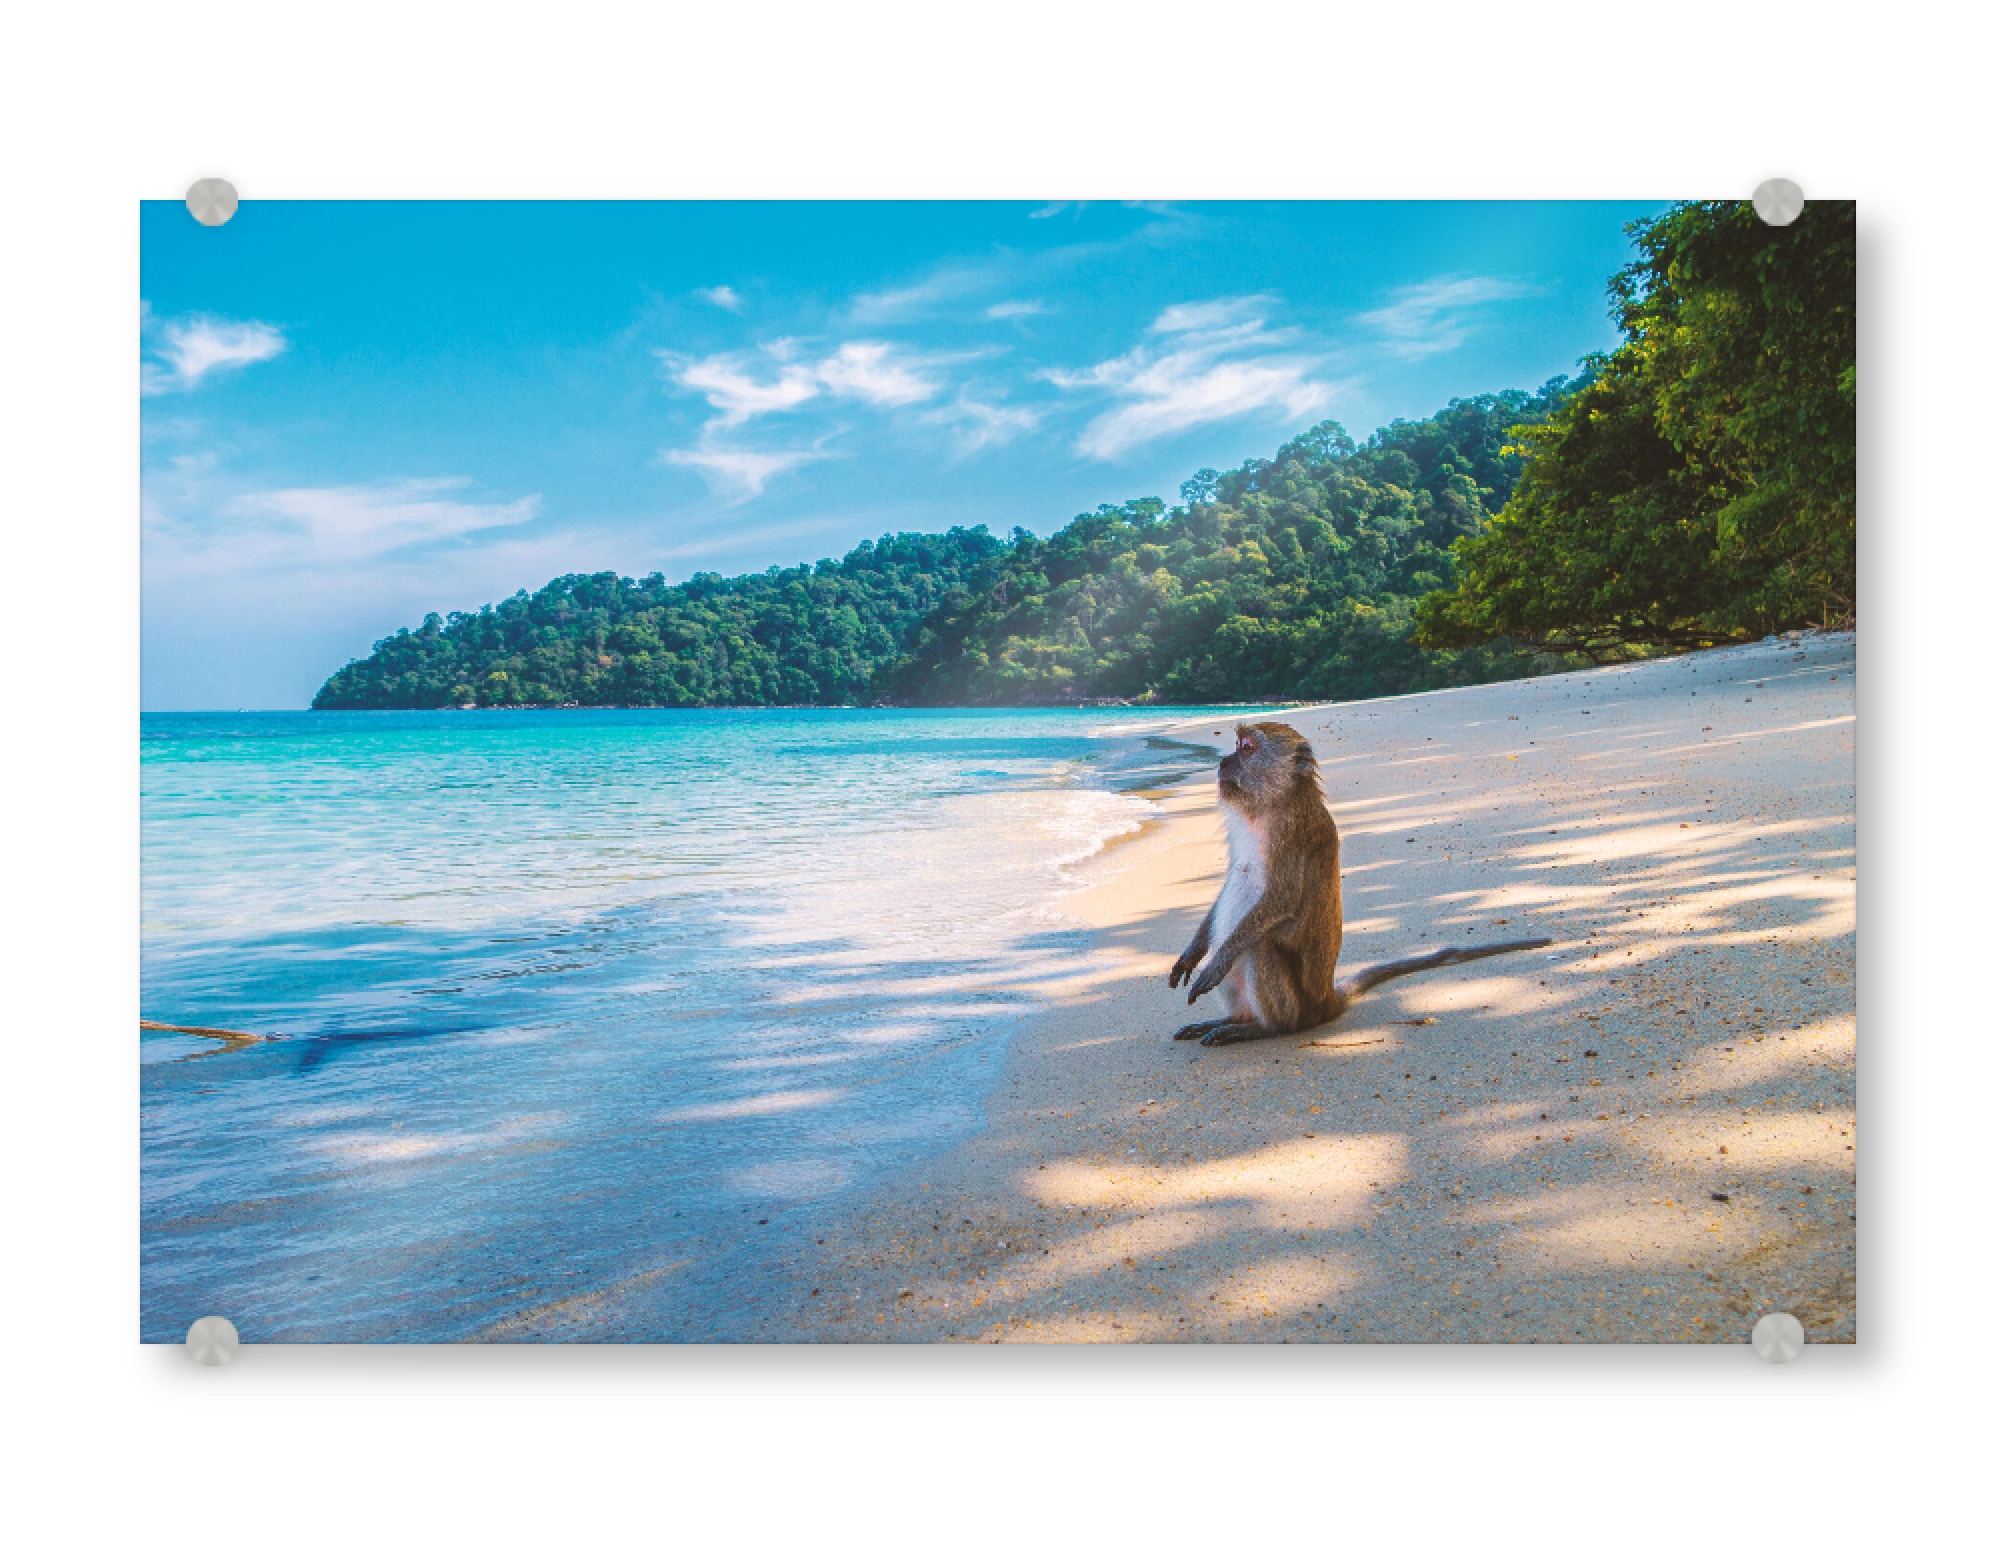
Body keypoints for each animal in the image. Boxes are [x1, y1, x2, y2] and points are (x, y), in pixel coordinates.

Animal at [1167, 721, 1551, 1047]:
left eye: (1246, 748)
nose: (1223, 762)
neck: (1273, 802)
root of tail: (1325, 1001)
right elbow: (1230, 885)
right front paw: (1191, 954)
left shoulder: (1292, 832)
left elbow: (1282, 900)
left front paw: (1217, 962)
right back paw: (1231, 1020)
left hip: (1298, 1006)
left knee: (1259, 947)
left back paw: (1264, 1028)